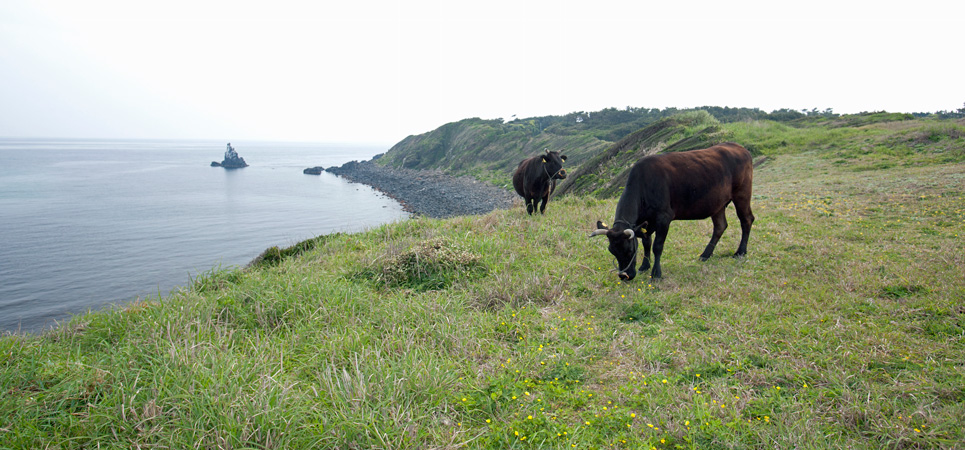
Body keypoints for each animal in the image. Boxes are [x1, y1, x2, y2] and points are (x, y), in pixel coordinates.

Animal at [588, 142, 752, 280]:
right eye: (612, 250)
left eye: (629, 250)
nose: (624, 276)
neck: (644, 186)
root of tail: (738, 146)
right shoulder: (645, 222)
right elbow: (647, 243)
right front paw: (644, 266)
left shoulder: (663, 218)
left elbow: (657, 246)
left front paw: (656, 274)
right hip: (717, 204)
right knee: (720, 226)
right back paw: (705, 255)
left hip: (742, 194)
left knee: (747, 220)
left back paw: (740, 252)